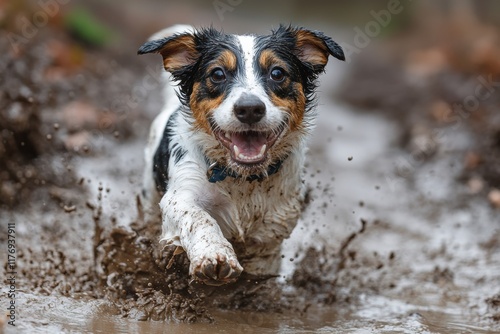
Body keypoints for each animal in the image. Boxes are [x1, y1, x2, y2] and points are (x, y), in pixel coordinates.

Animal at [139, 24, 346, 284]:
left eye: (277, 73)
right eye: (217, 74)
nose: (249, 108)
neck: (243, 178)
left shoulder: (276, 224)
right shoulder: (181, 191)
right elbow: (198, 216)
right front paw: (215, 256)